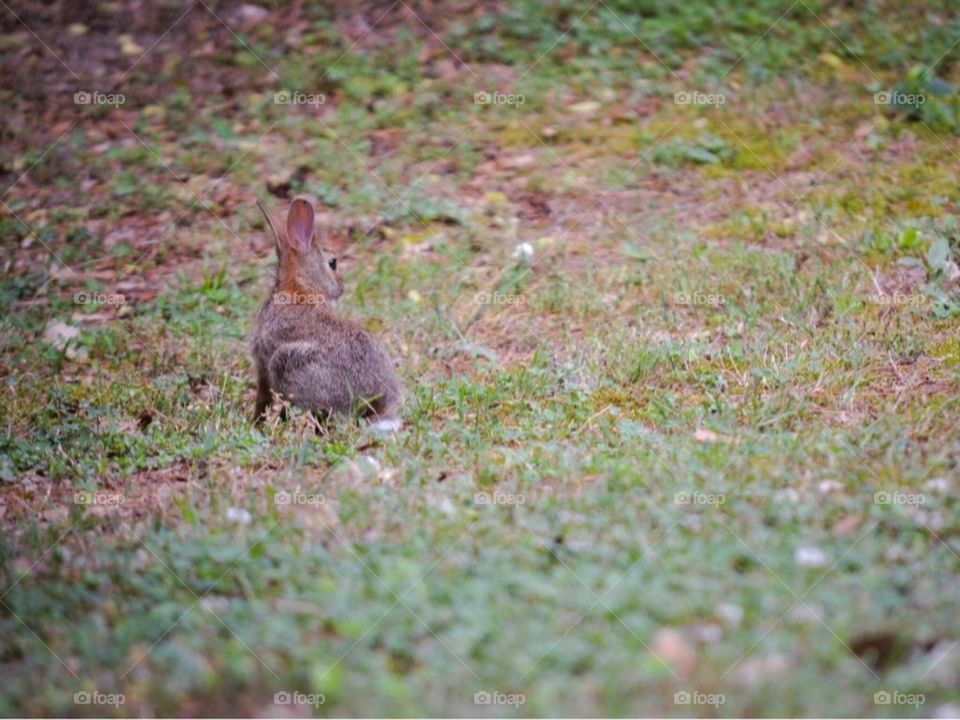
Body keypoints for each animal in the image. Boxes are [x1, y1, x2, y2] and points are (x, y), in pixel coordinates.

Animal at [251, 197, 402, 430]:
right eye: (332, 263)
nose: (341, 287)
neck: (299, 288)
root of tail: (376, 403)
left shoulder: (263, 364)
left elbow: (263, 396)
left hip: (286, 361)